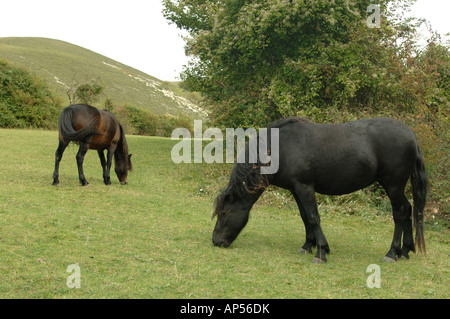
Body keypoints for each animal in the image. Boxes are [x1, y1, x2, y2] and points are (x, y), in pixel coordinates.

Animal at [213, 116, 428, 264]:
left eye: (224, 212)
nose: (216, 241)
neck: (281, 148)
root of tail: (411, 135)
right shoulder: (296, 189)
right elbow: (305, 217)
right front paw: (308, 245)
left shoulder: (305, 188)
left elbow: (313, 217)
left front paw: (321, 252)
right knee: (408, 211)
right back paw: (405, 250)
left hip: (393, 186)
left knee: (400, 213)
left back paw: (392, 253)